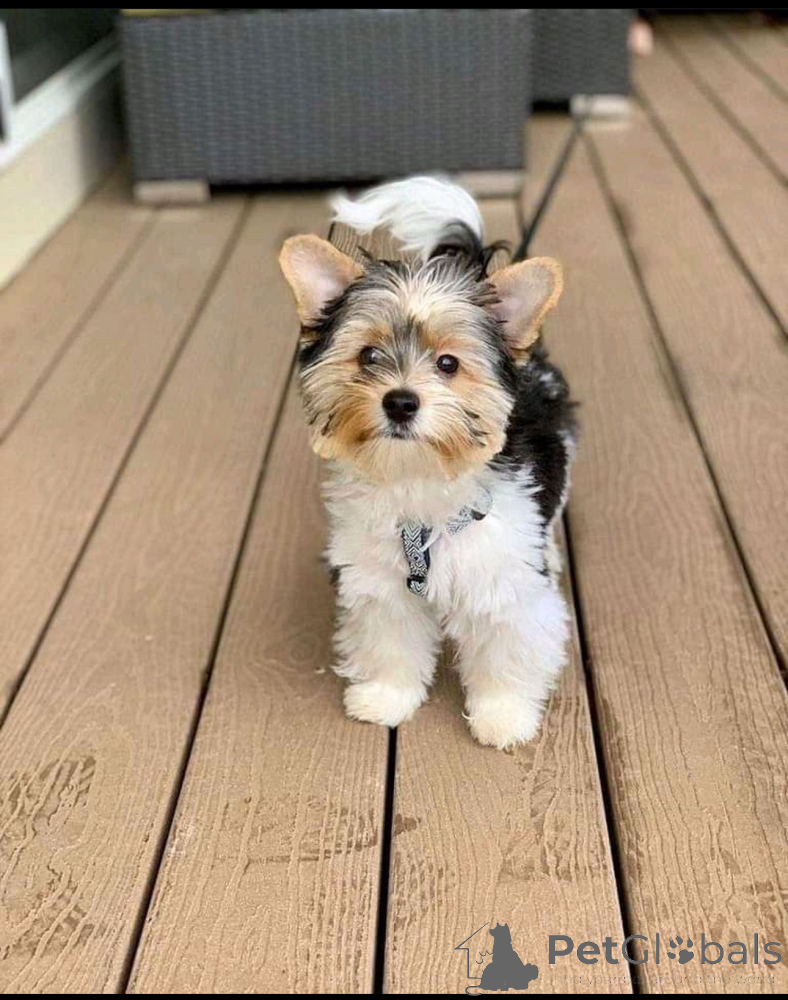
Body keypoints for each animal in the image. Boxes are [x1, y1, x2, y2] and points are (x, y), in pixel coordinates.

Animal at [279, 177, 575, 749]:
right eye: (369, 356)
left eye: (448, 364)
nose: (400, 401)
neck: (416, 477)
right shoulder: (381, 586)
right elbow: (390, 642)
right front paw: (386, 697)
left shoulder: (506, 585)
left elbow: (506, 651)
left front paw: (503, 715)